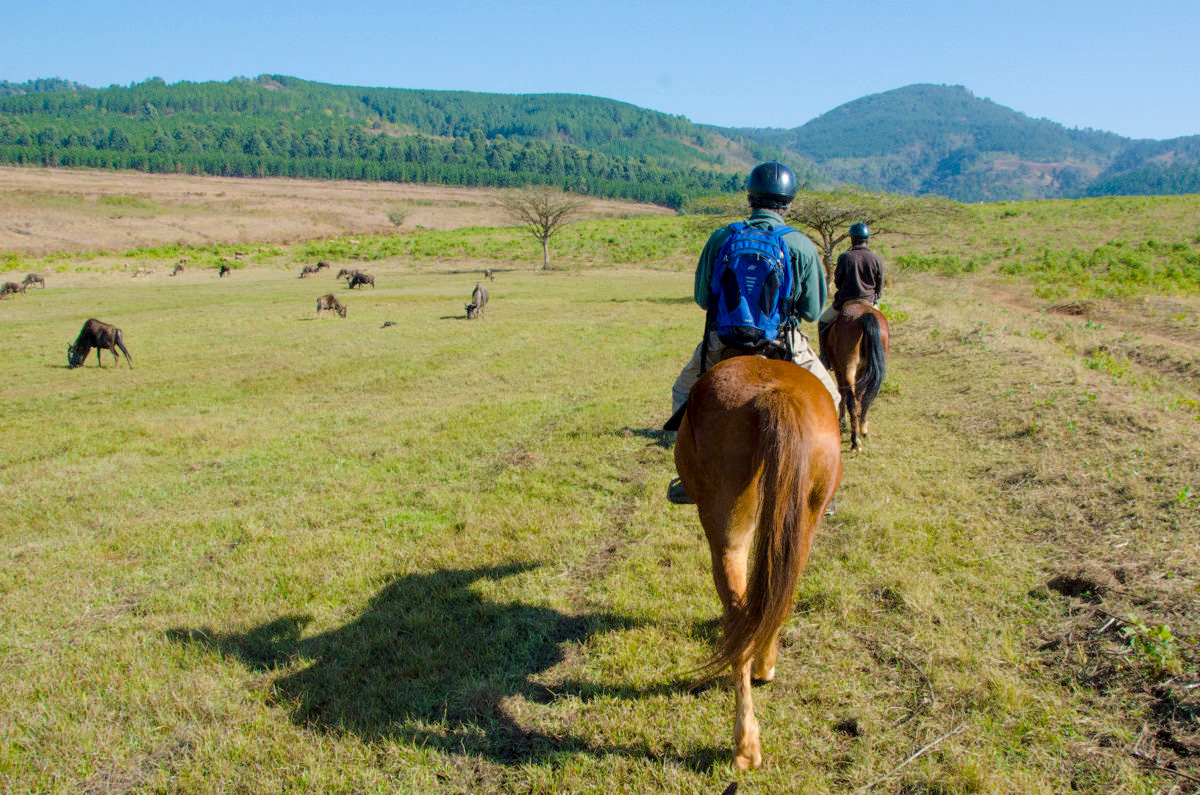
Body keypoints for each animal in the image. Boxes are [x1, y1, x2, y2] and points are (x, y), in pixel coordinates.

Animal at [673, 355, 841, 770]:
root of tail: (775, 395)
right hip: (803, 524)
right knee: (778, 601)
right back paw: (765, 668)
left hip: (726, 535)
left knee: (739, 618)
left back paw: (745, 744)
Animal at [822, 300, 889, 451]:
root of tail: (865, 315)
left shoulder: (839, 369)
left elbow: (842, 393)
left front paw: (842, 420)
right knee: (865, 398)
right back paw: (862, 429)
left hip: (848, 368)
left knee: (851, 400)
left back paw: (855, 441)